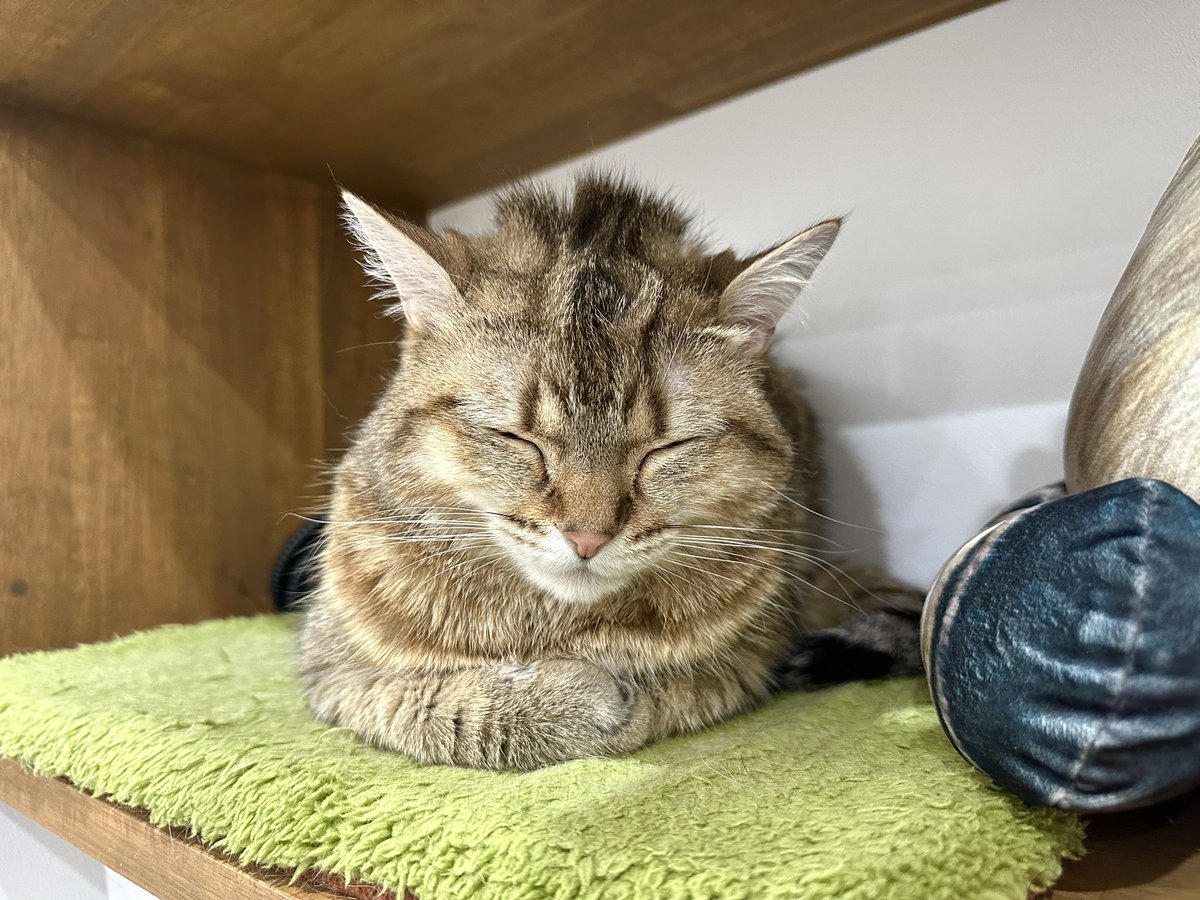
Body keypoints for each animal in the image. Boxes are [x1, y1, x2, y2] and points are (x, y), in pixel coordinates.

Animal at [299, 174, 924, 770]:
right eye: (516, 438)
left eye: (665, 448)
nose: (587, 537)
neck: (552, 624)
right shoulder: (331, 672)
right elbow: (424, 704)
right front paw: (571, 698)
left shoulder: (749, 660)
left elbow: (673, 690)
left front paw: (607, 693)